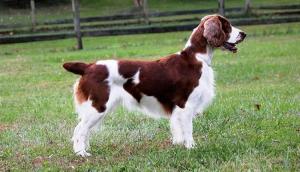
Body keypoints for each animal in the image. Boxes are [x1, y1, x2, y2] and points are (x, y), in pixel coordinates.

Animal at [62, 14, 246, 157]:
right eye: (227, 26)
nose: (244, 34)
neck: (196, 57)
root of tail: (88, 66)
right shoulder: (186, 105)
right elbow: (188, 130)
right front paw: (192, 148)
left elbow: (178, 130)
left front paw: (179, 145)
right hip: (98, 105)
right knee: (79, 130)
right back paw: (81, 153)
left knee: (84, 130)